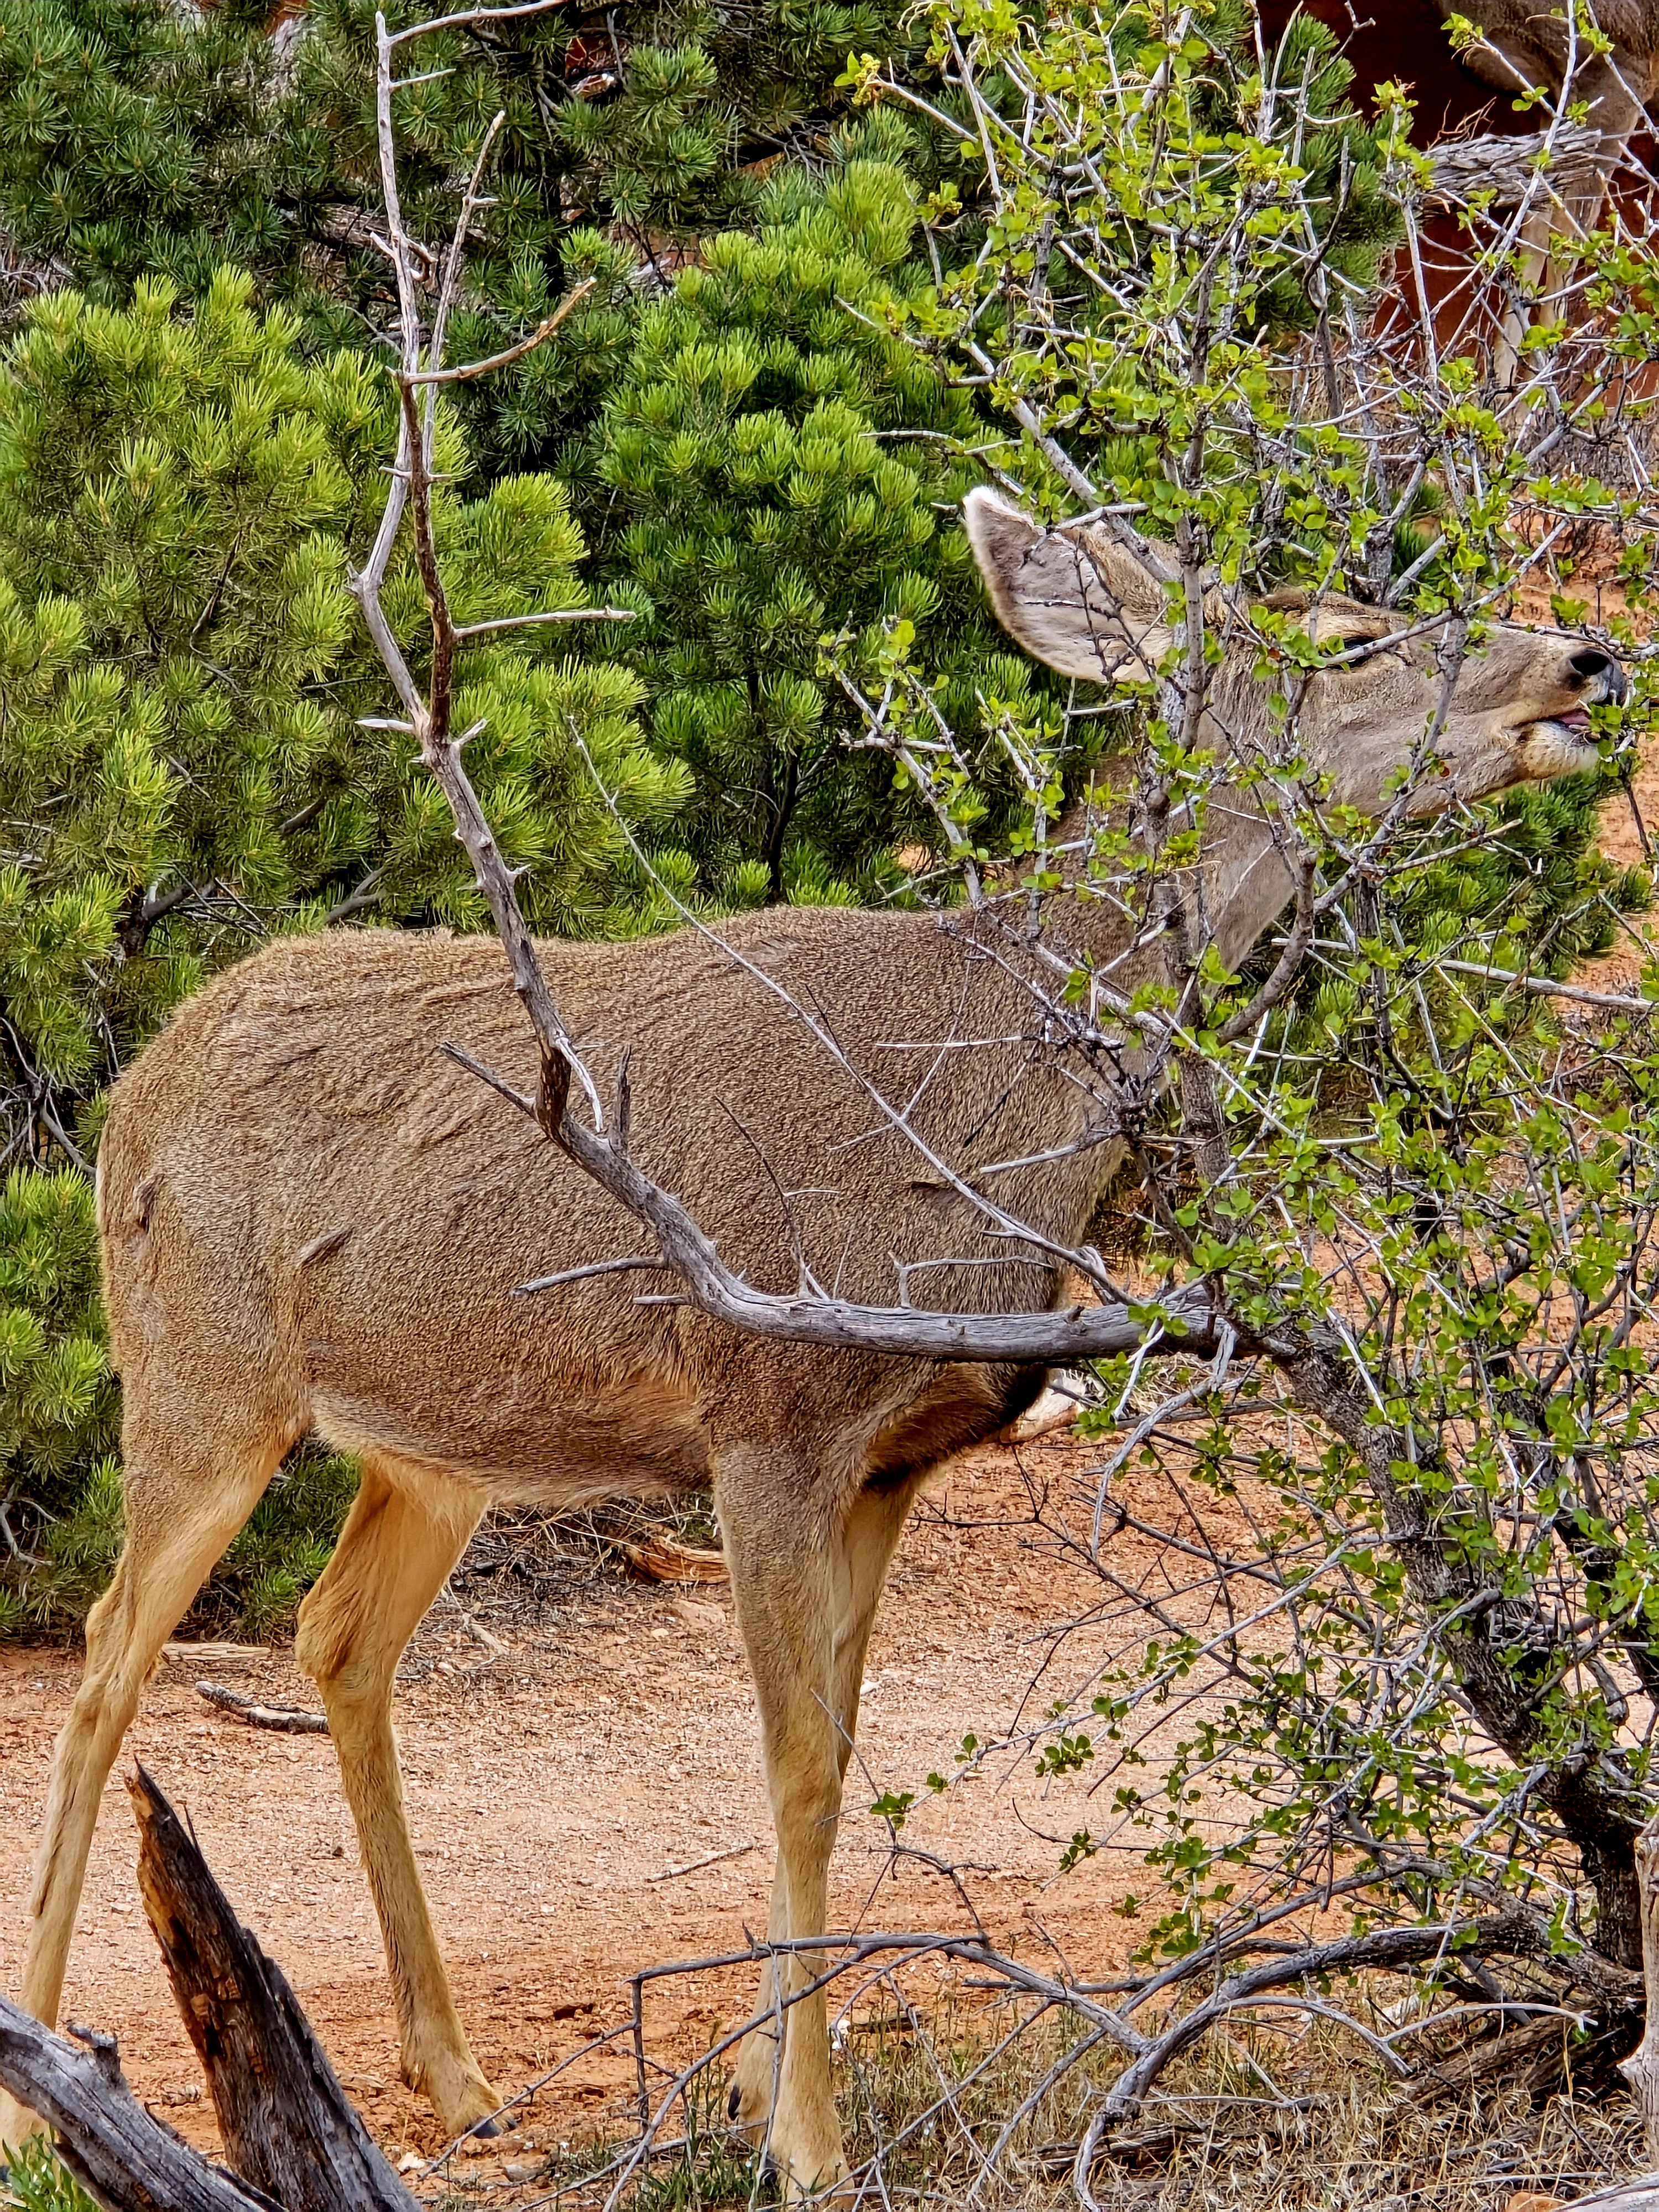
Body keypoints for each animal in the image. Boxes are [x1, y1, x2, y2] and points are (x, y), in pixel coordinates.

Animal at [0, 489, 1628, 2195]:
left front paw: (779, 2098)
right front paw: (807, 2144)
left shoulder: (896, 1460)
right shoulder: (768, 1417)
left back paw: (454, 2080)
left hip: (435, 1445)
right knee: (103, 1667)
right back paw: (47, 2091)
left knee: (334, 1636)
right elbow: (791, 1771)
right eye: (1347, 638)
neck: (983, 1102)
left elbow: (840, 1764)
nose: (1587, 658)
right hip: (198, 1372)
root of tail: (131, 1095)